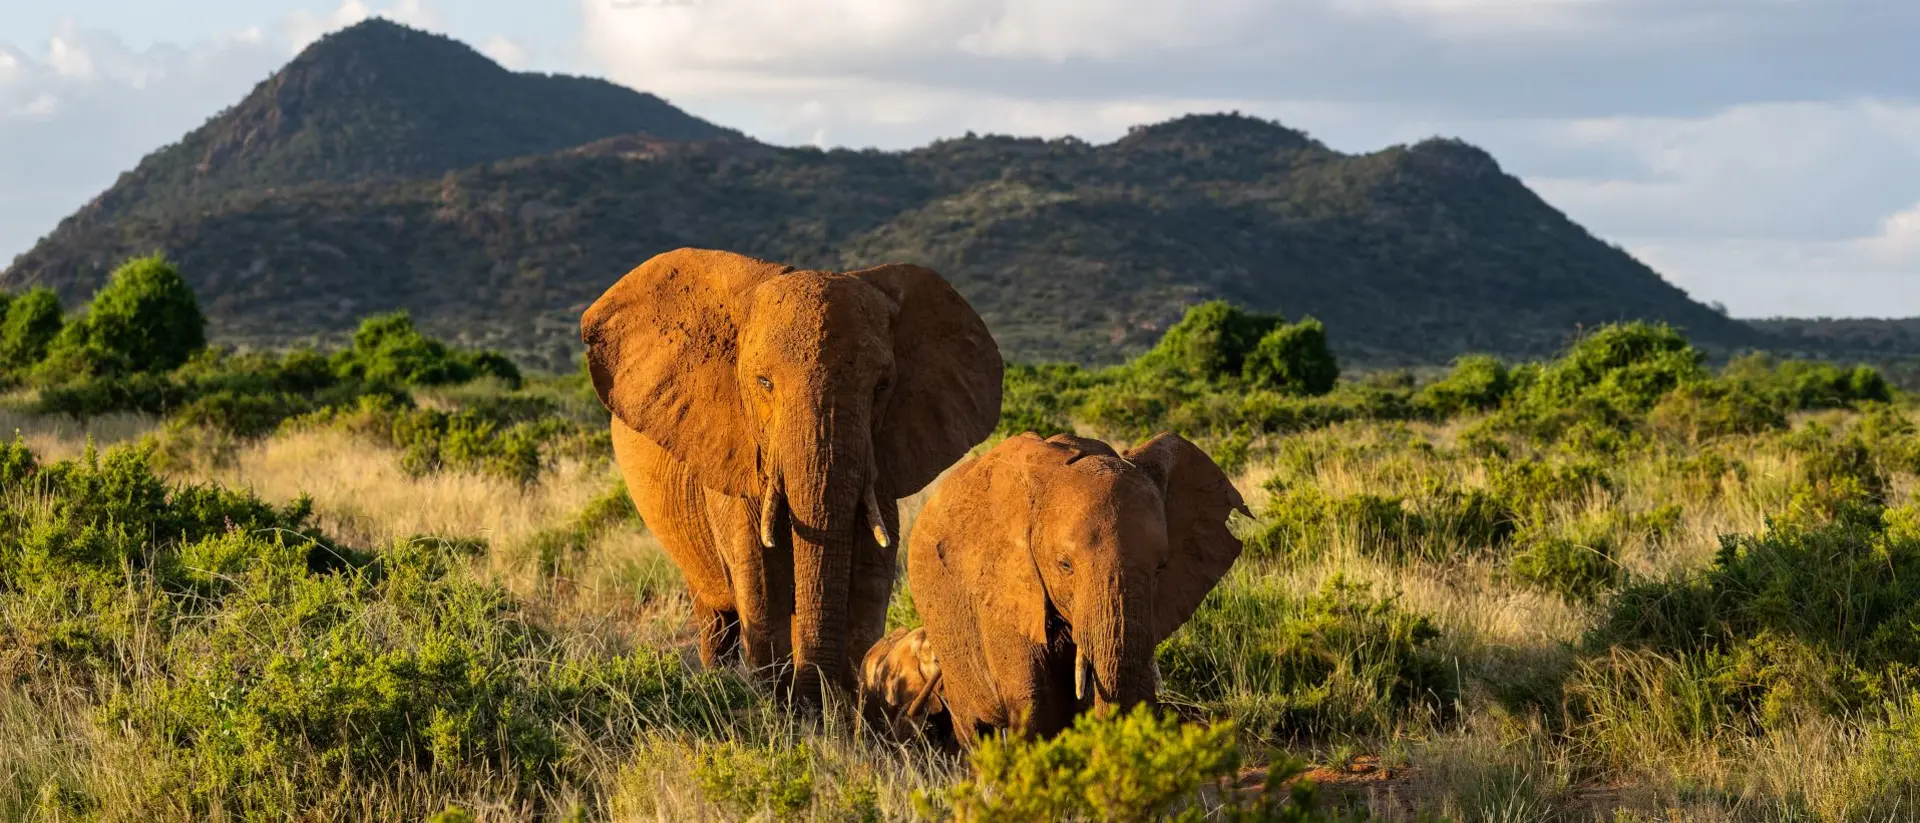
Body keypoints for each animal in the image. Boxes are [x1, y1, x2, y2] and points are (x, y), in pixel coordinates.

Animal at [580, 247, 1003, 701]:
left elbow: (871, 572)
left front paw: (845, 702)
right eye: (764, 382)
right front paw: (780, 701)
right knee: (716, 616)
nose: (815, 693)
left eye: (882, 386)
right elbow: (761, 575)